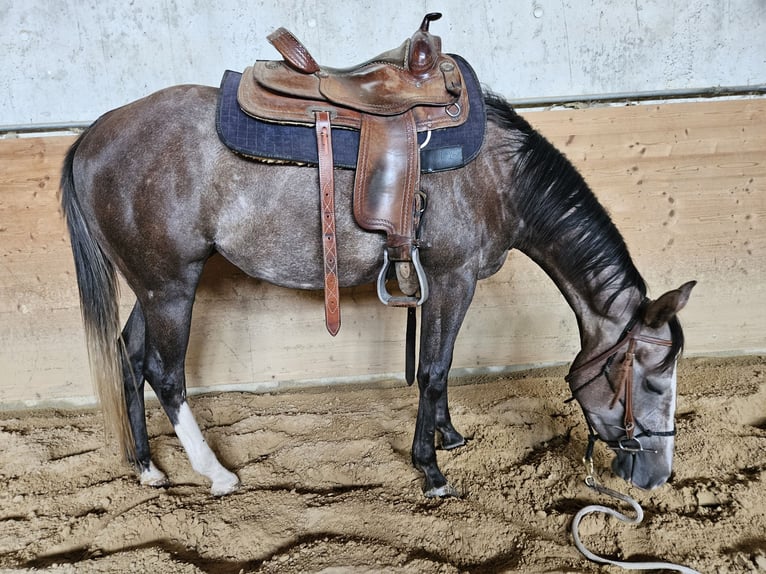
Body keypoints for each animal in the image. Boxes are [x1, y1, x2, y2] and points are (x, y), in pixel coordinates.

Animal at [60, 84, 695, 498]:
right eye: (653, 379)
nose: (658, 477)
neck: (501, 179)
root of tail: (92, 136)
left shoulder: (443, 284)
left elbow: (443, 364)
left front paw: (447, 435)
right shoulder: (453, 278)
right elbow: (434, 369)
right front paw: (431, 469)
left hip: (152, 287)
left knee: (129, 355)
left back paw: (147, 467)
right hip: (171, 287)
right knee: (165, 373)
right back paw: (215, 474)